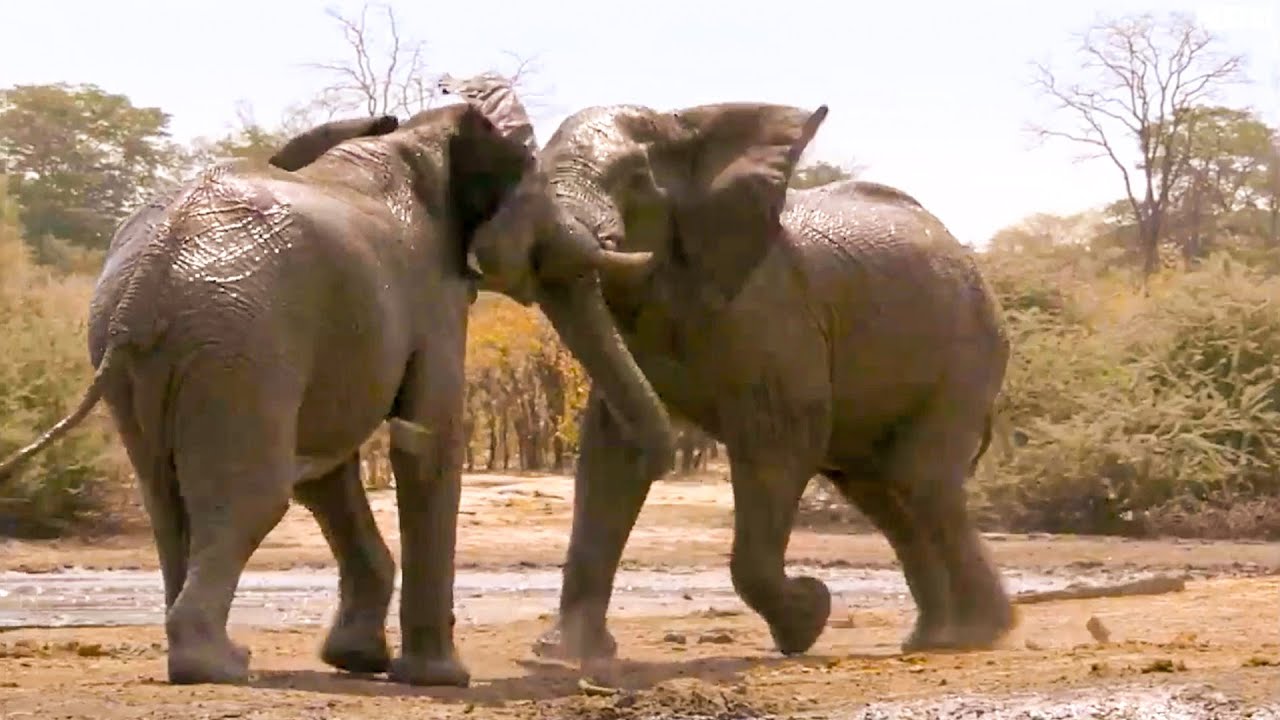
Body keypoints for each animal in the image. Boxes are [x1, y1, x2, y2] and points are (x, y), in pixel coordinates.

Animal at [0, 77, 674, 686]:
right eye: (538, 186)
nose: (660, 458)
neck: (418, 134)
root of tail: (153, 266)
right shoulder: (432, 294)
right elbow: (427, 442)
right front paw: (440, 679)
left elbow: (330, 471)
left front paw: (359, 662)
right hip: (242, 340)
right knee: (252, 496)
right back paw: (218, 667)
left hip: (160, 348)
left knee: (168, 495)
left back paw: (210, 656)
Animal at [497, 101, 1016, 665]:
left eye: (635, 178)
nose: (667, 460)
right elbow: (609, 454)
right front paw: (564, 657)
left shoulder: (773, 313)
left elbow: (778, 440)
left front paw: (808, 617)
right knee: (878, 492)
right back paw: (933, 638)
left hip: (968, 350)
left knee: (920, 480)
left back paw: (976, 636)